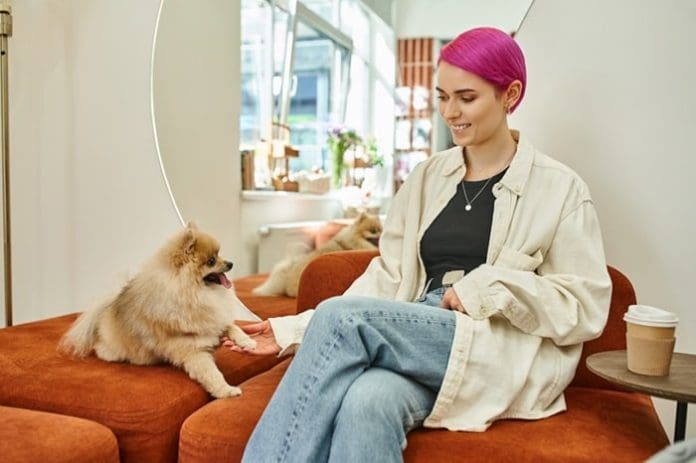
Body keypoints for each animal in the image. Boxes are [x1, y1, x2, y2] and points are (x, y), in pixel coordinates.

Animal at [59, 224, 260, 398]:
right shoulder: (194, 350)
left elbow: (233, 327)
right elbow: (212, 373)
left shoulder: (213, 323)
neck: (196, 293)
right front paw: (226, 391)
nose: (230, 263)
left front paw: (247, 342)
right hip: (113, 350)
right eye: (211, 261)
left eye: (219, 254)